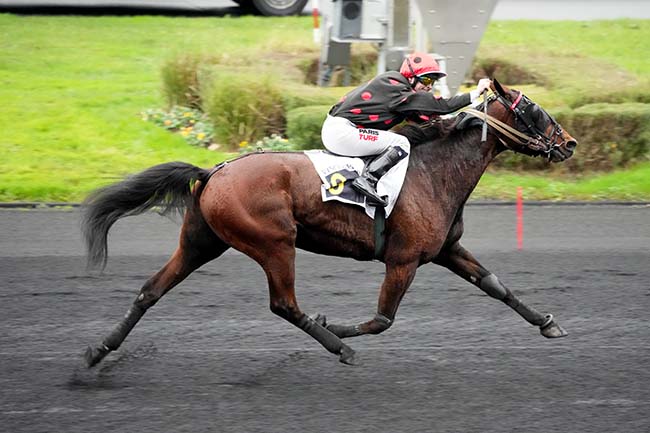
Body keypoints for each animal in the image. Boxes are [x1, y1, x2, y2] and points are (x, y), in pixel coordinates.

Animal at [82, 79, 576, 366]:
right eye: (533, 108)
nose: (569, 142)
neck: (432, 173)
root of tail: (213, 171)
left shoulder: (446, 250)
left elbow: (496, 286)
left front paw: (548, 322)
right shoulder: (404, 260)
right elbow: (382, 319)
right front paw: (338, 328)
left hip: (201, 242)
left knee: (150, 290)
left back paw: (98, 350)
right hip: (274, 243)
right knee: (284, 304)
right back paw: (340, 348)